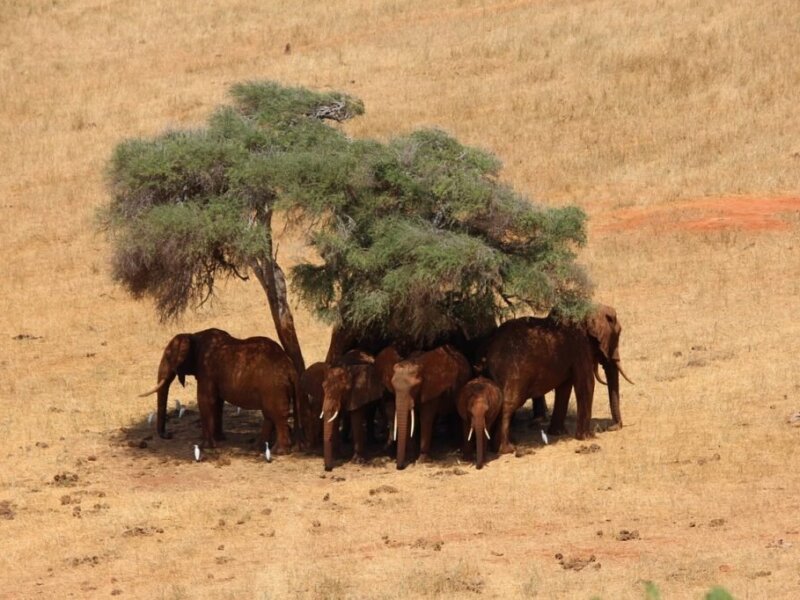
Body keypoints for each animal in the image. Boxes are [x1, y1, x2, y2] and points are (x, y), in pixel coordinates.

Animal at [140, 328, 297, 453]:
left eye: (167, 356)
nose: (169, 435)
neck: (193, 335)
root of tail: (290, 368)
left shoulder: (206, 369)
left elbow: (205, 400)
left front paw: (205, 446)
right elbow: (217, 403)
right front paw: (220, 439)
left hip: (273, 387)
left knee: (276, 414)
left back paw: (279, 451)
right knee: (269, 415)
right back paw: (257, 448)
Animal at [483, 304, 633, 453]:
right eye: (617, 335)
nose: (611, 428)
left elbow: (564, 388)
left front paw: (558, 433)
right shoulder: (580, 346)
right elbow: (586, 383)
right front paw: (587, 437)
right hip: (514, 371)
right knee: (509, 404)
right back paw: (506, 449)